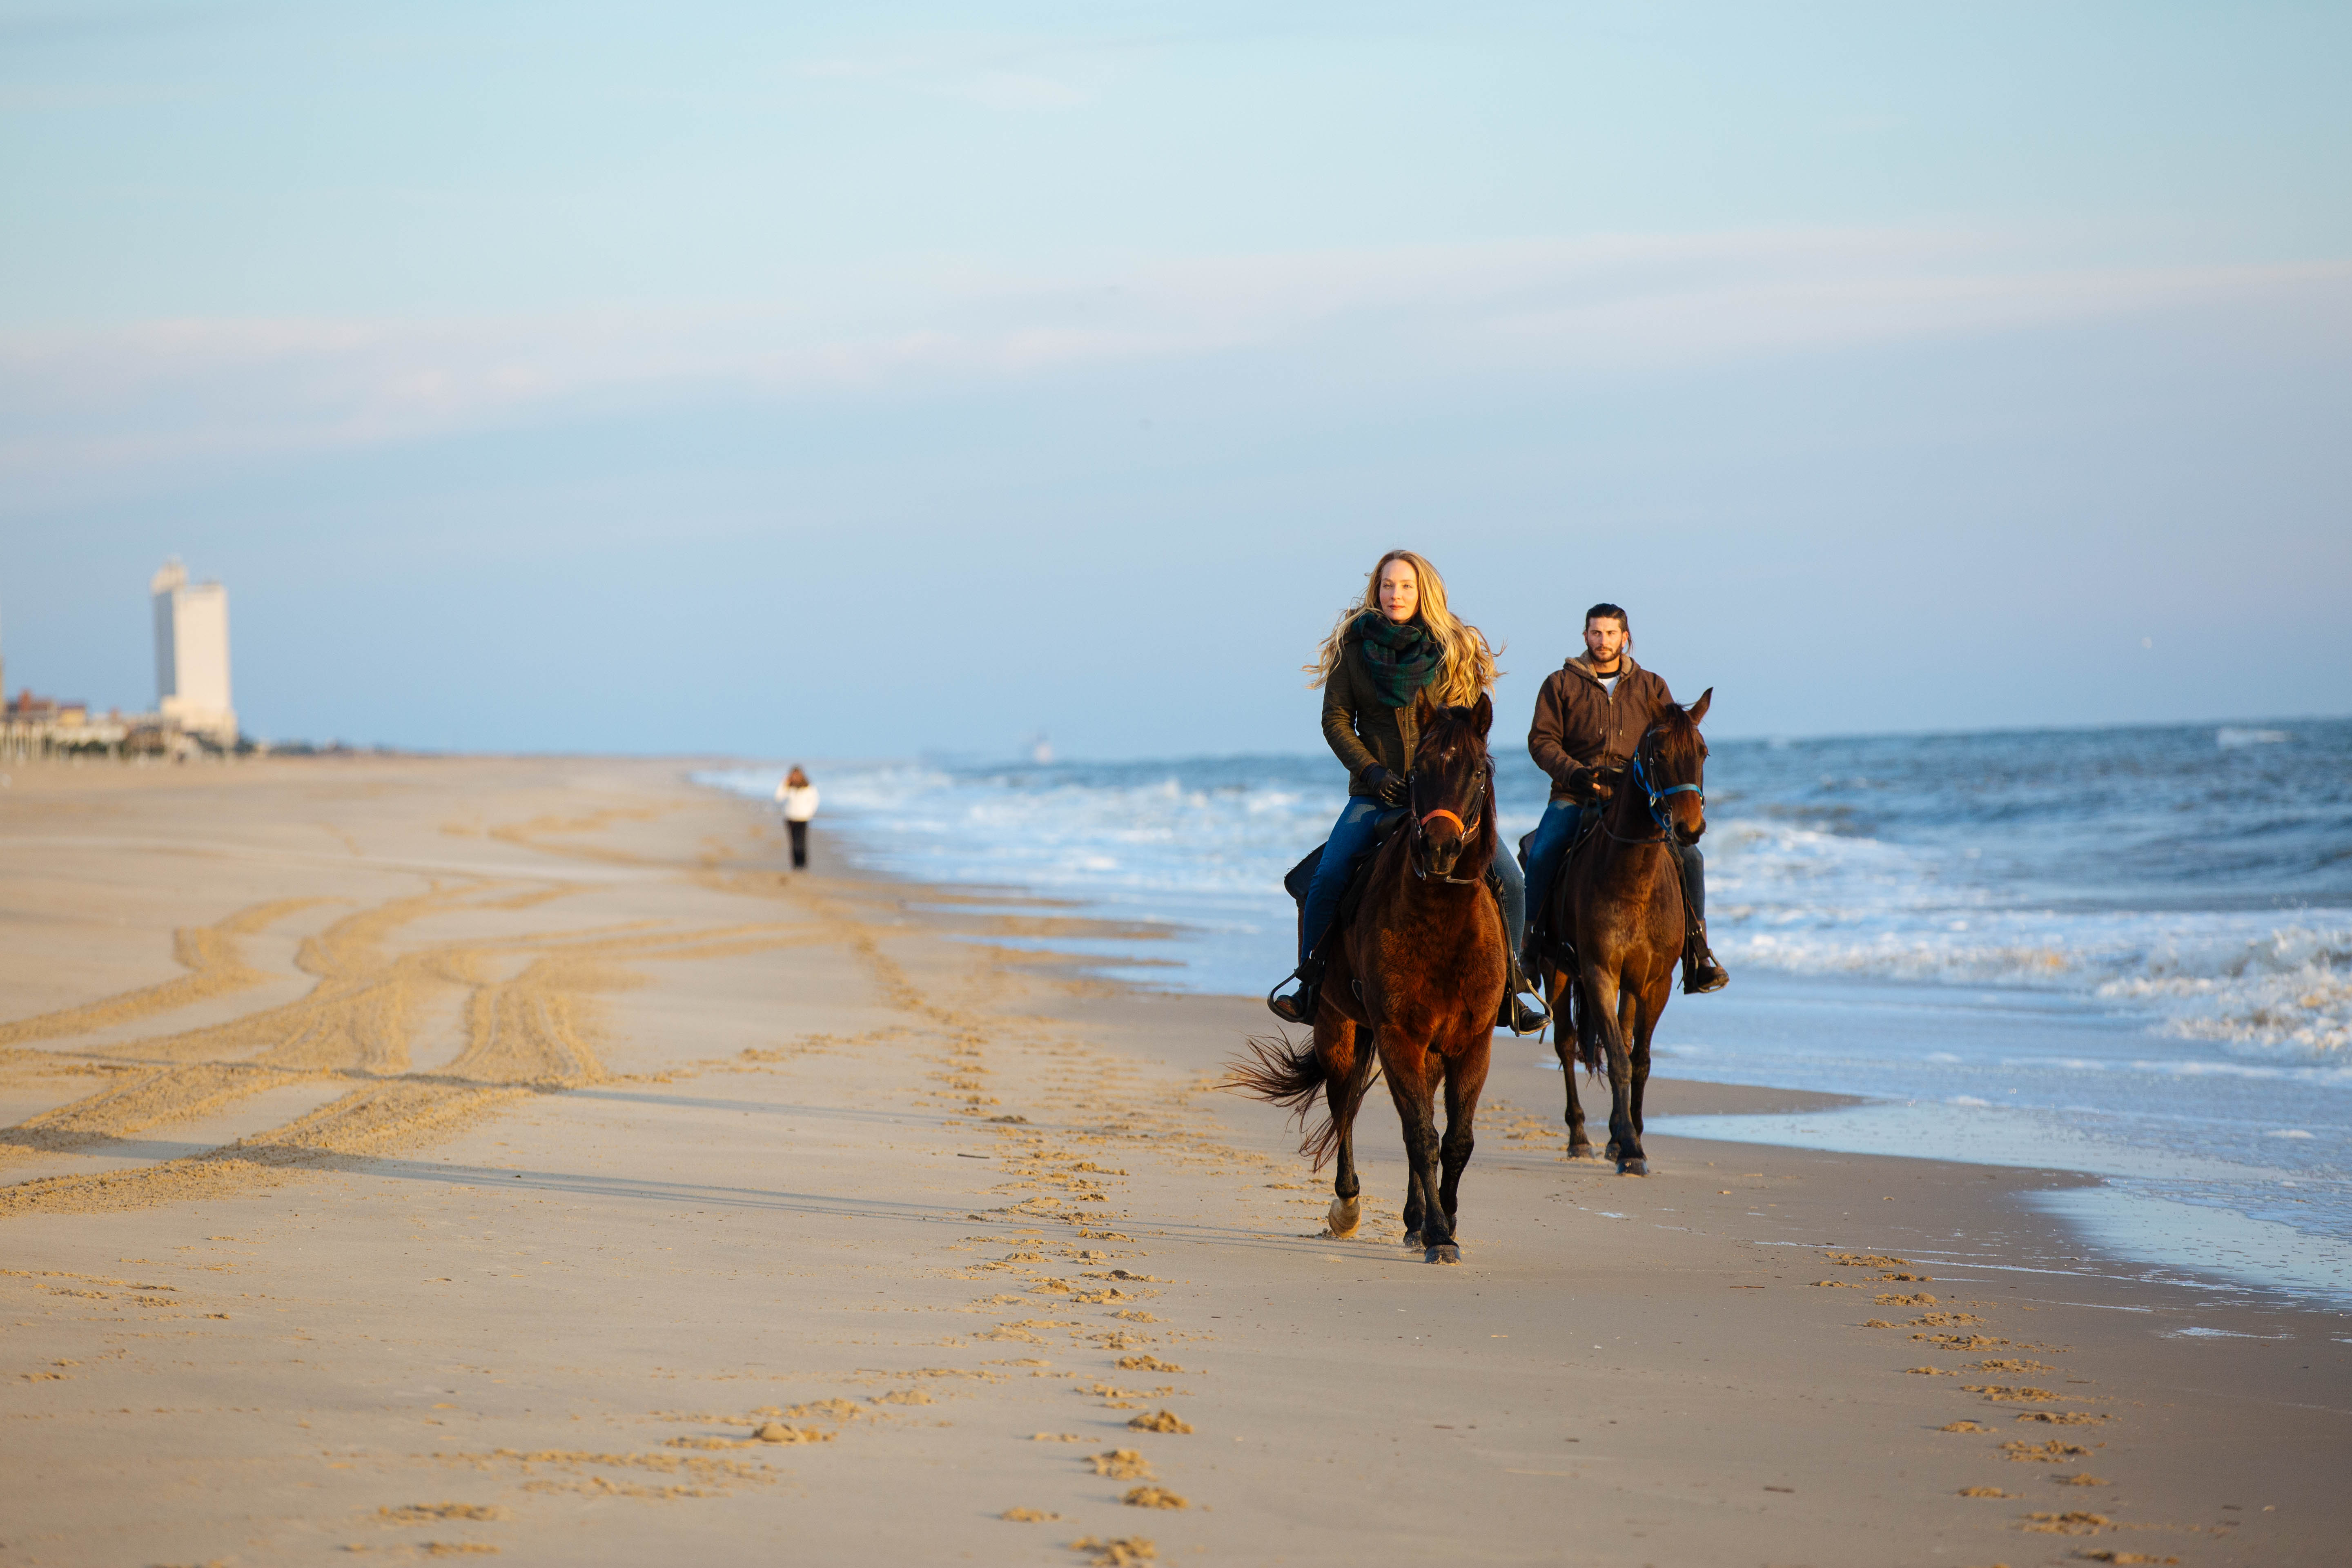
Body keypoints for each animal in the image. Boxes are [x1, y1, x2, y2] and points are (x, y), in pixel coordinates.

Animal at [1232, 696, 1505, 1260]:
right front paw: (1440, 1235)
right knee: (1345, 1106)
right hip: (1337, 1027)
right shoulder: (1397, 1034)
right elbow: (1421, 1135)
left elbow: (1456, 1140)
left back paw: (1413, 1218)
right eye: (1418, 771)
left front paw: (1441, 1222)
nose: (1439, 849)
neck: (1442, 923)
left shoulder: (1472, 1042)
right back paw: (1348, 1207)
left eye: (1478, 772)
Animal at [1543, 691, 1712, 1171]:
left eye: (1703, 753)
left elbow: (1639, 1058)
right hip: (1556, 971)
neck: (1632, 879)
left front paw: (1630, 1138)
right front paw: (1630, 1150)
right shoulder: (1600, 973)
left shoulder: (1652, 982)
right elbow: (1617, 1058)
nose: (1689, 828)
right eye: (1659, 754)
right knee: (1566, 1044)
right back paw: (1580, 1137)